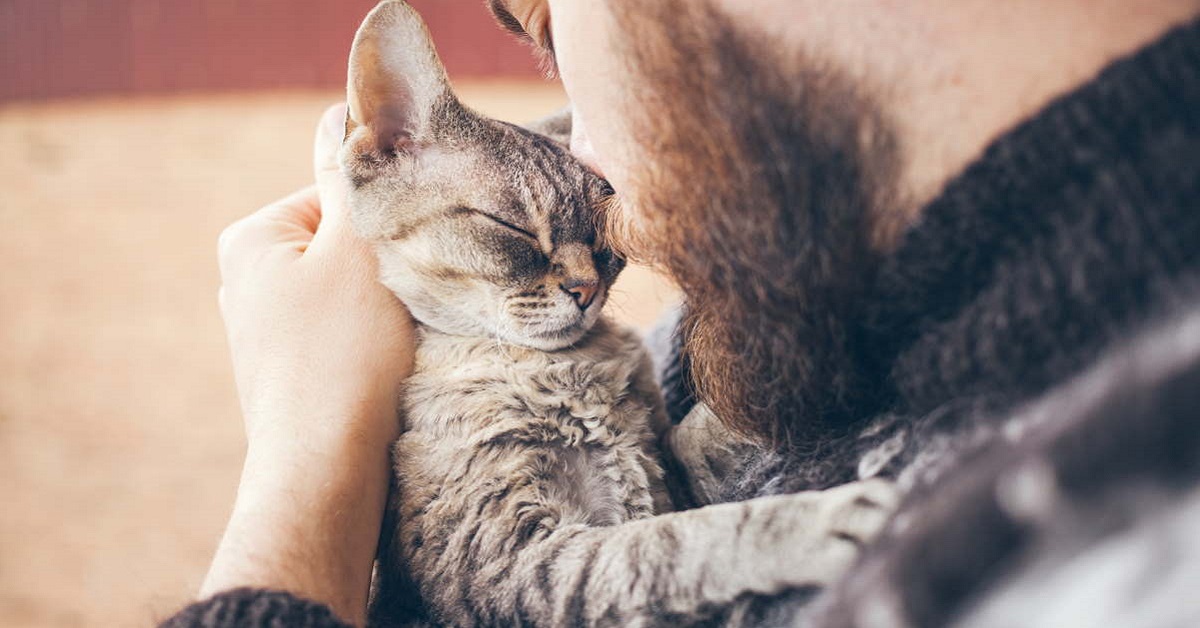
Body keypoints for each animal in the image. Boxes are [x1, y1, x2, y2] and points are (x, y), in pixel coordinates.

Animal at [338, 2, 902, 624]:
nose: (585, 288)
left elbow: (697, 431)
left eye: (602, 241)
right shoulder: (513, 561)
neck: (570, 370)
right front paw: (812, 523)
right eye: (513, 227)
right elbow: (669, 543)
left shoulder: (666, 468)